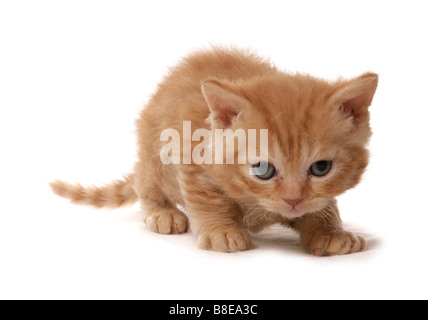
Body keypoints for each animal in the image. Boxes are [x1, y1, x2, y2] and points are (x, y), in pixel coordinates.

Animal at [51, 47, 378, 255]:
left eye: (321, 168)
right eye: (263, 169)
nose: (293, 200)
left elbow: (324, 206)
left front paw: (331, 234)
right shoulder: (190, 157)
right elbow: (208, 200)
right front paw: (222, 231)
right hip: (152, 152)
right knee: (146, 184)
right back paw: (162, 213)